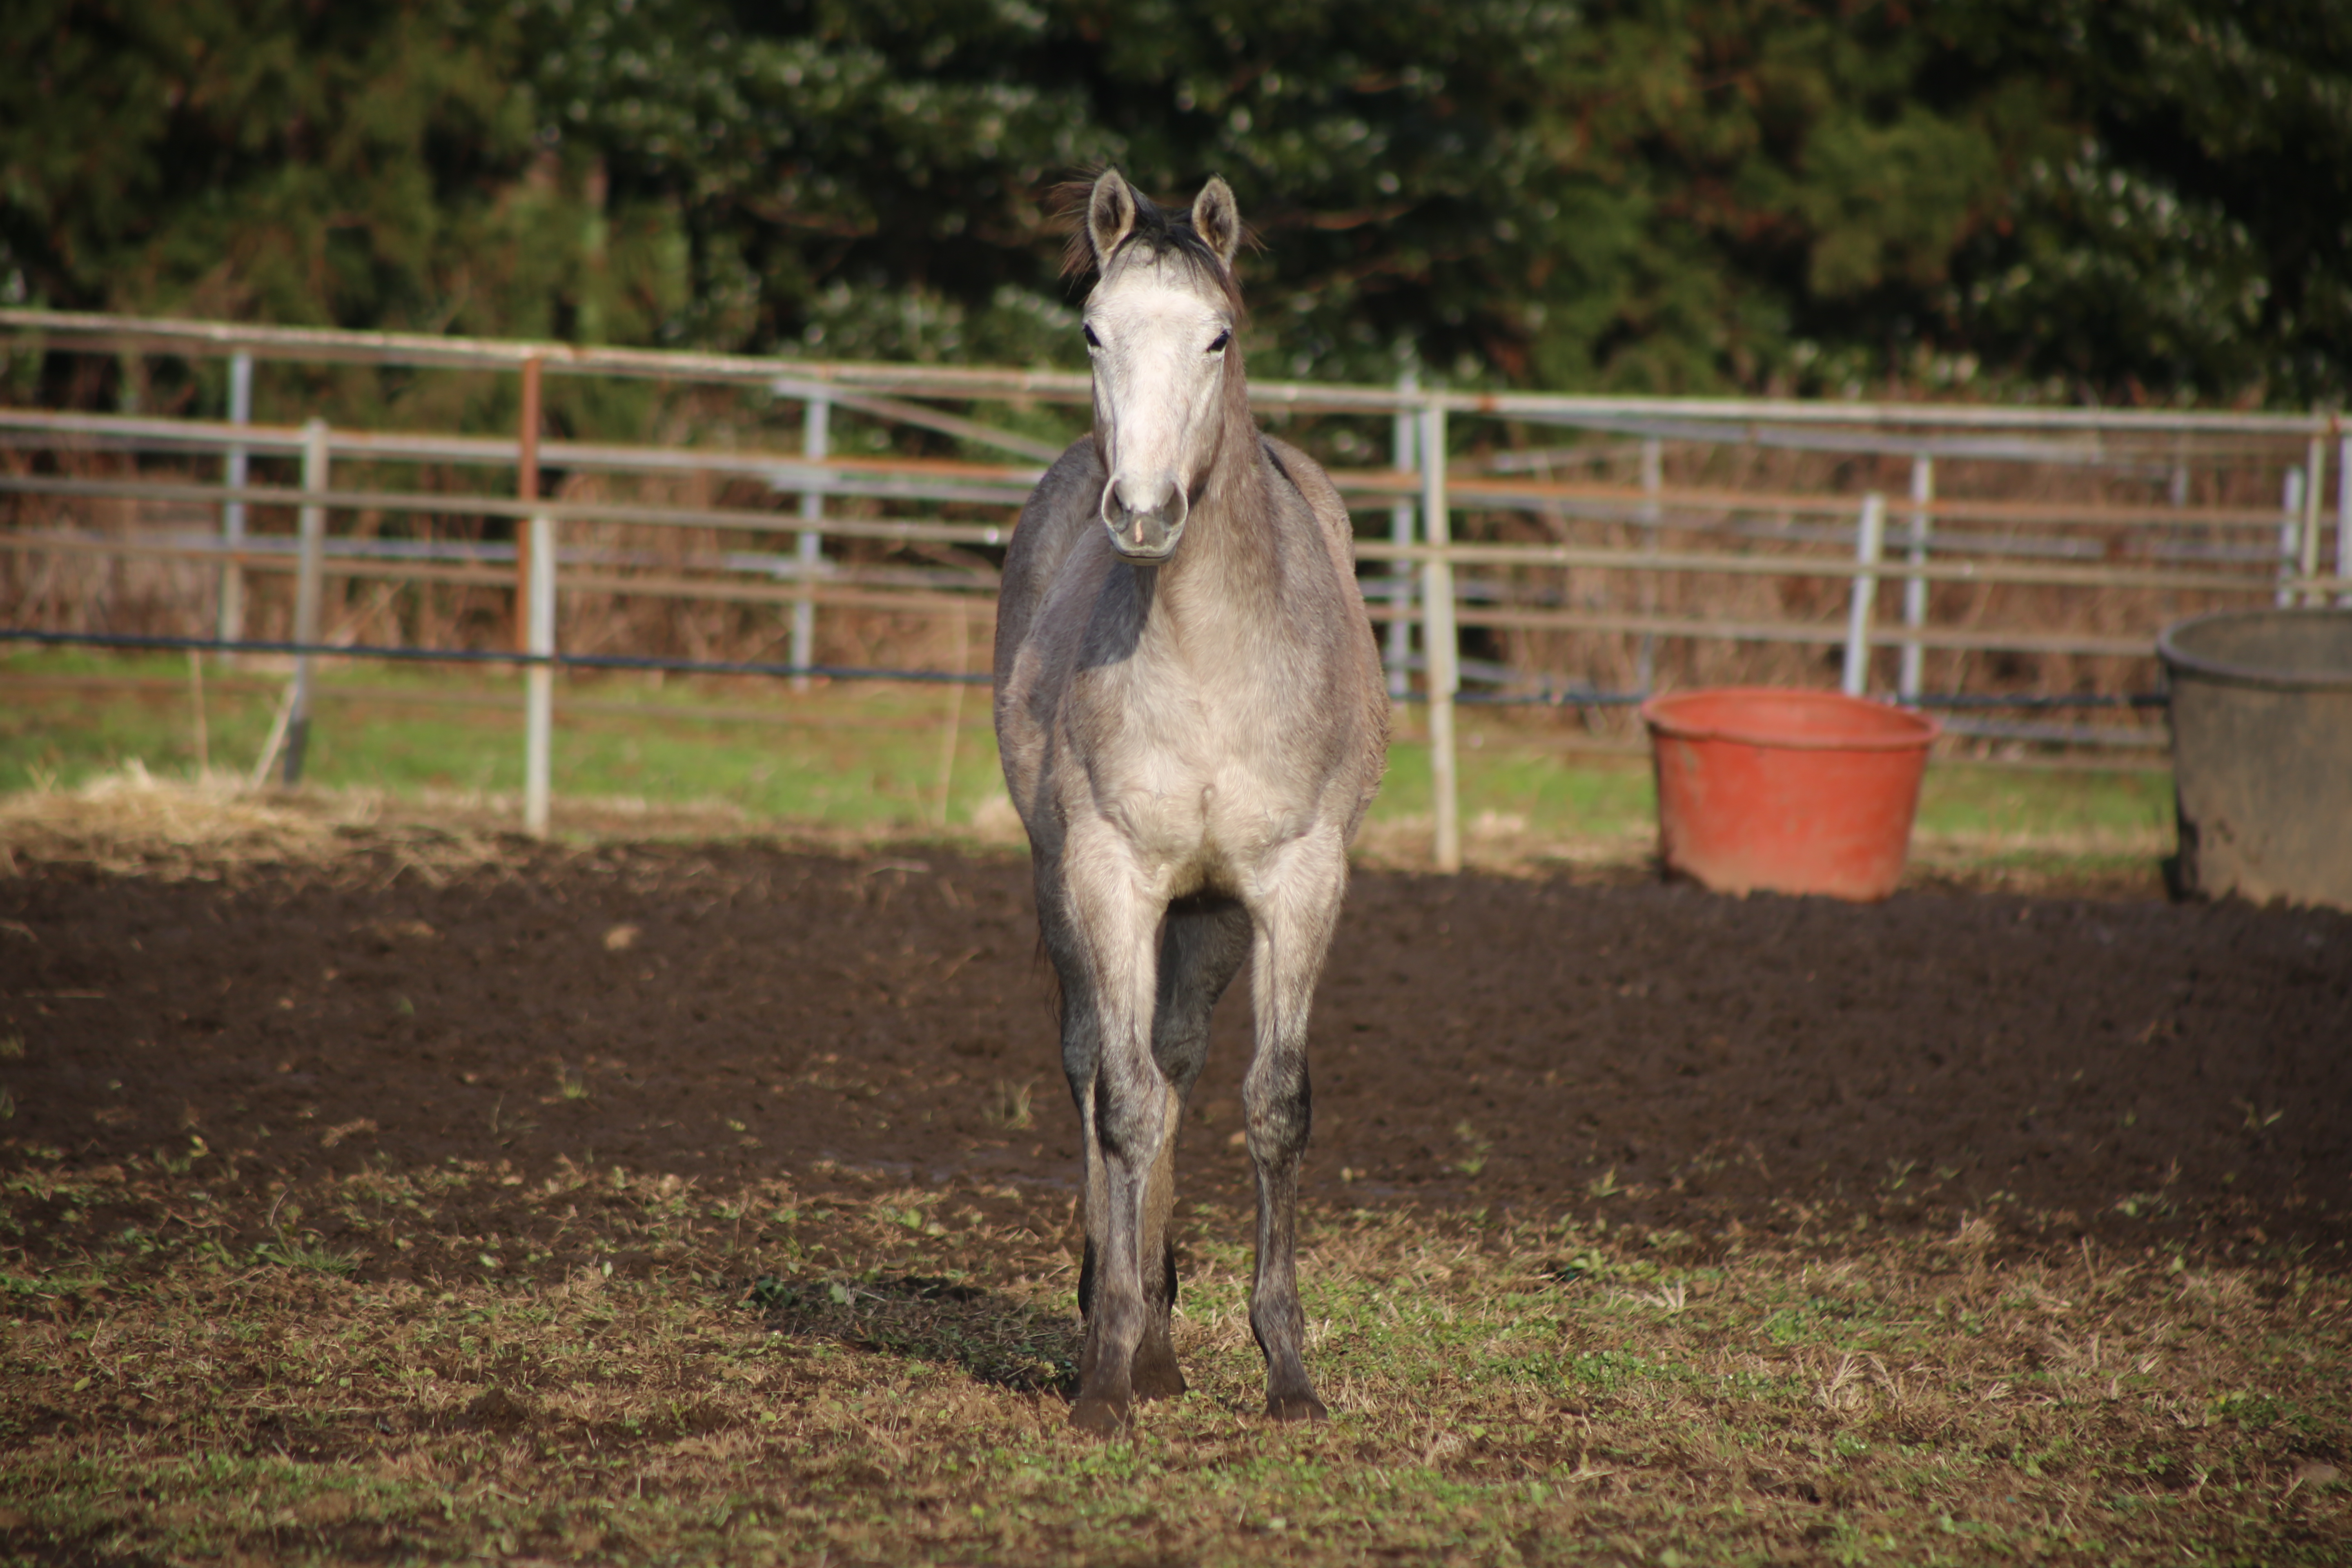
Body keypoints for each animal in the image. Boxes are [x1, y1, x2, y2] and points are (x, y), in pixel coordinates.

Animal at [997, 172, 1392, 1439]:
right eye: (1092, 332)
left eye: (1217, 336)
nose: (1142, 513)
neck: (1212, 655)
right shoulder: (1107, 876)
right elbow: (1120, 1104)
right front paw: (1104, 1375)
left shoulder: (1295, 885)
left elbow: (1273, 1105)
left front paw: (1288, 1373)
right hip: (1068, 886)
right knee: (1097, 1064)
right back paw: (1118, 1322)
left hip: (1211, 915)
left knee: (1174, 1057)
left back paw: (1168, 1348)